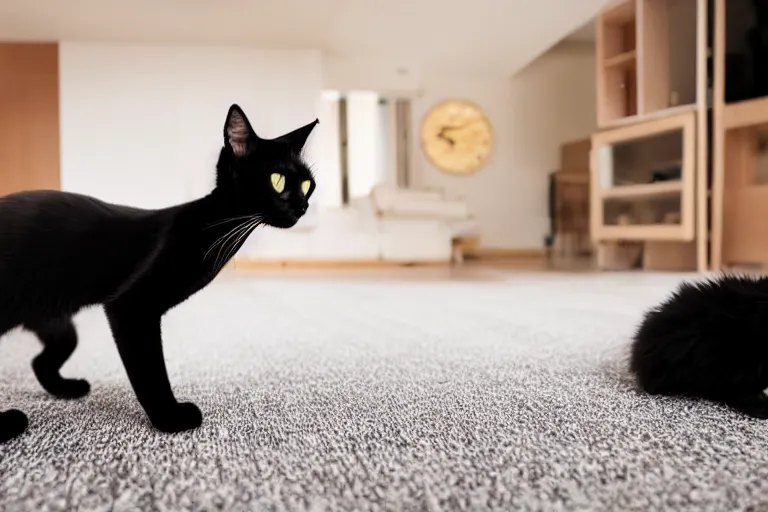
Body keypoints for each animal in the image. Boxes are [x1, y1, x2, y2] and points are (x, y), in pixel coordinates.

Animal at [0, 105, 318, 444]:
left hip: (49, 313)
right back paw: (7, 424)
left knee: (43, 357)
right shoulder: (132, 306)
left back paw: (66, 388)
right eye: (277, 180)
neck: (214, 226)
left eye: (308, 185)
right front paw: (170, 418)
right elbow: (151, 371)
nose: (302, 206)